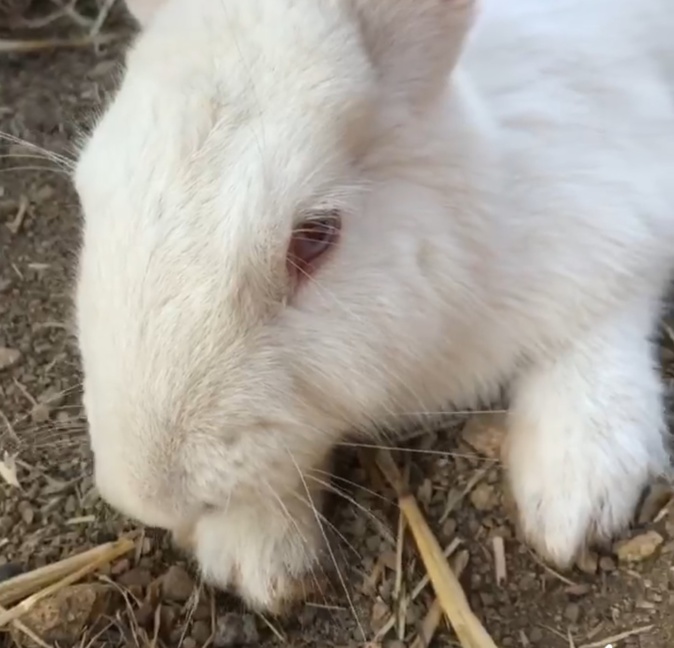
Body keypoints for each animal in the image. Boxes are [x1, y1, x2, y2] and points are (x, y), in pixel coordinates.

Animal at [73, 0, 674, 614]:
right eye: (86, 189)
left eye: (315, 236)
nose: (148, 497)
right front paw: (255, 555)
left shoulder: (620, 209)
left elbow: (605, 321)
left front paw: (574, 499)